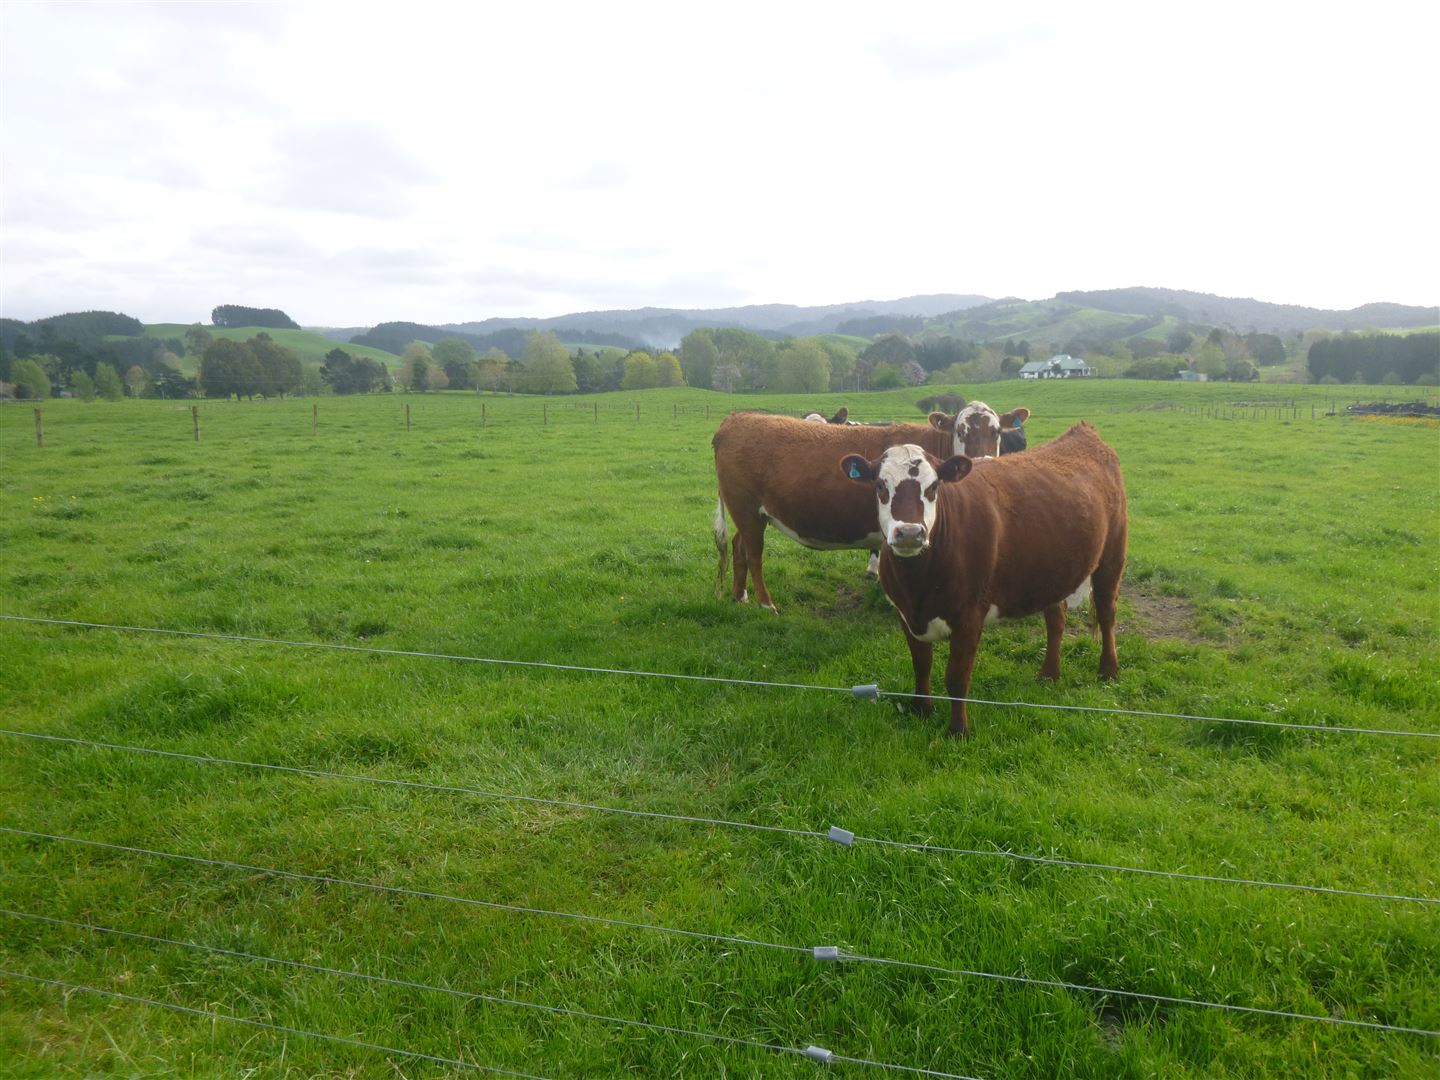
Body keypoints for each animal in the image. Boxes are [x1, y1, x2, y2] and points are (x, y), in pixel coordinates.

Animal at [708, 403, 1025, 613]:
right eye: (961, 430)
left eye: (997, 431)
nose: (983, 461)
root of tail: (736, 419)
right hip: (747, 509)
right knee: (754, 555)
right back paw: (765, 603)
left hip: (751, 515)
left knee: (739, 547)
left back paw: (739, 596)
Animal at [840, 420, 1128, 737]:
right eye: (880, 485)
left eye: (933, 487)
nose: (910, 533)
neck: (918, 585)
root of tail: (1083, 432)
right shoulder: (904, 613)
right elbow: (921, 664)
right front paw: (921, 710)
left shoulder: (969, 616)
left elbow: (956, 678)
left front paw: (958, 731)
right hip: (1053, 572)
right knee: (1056, 619)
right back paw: (1049, 674)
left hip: (1112, 553)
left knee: (1106, 612)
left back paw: (1108, 670)